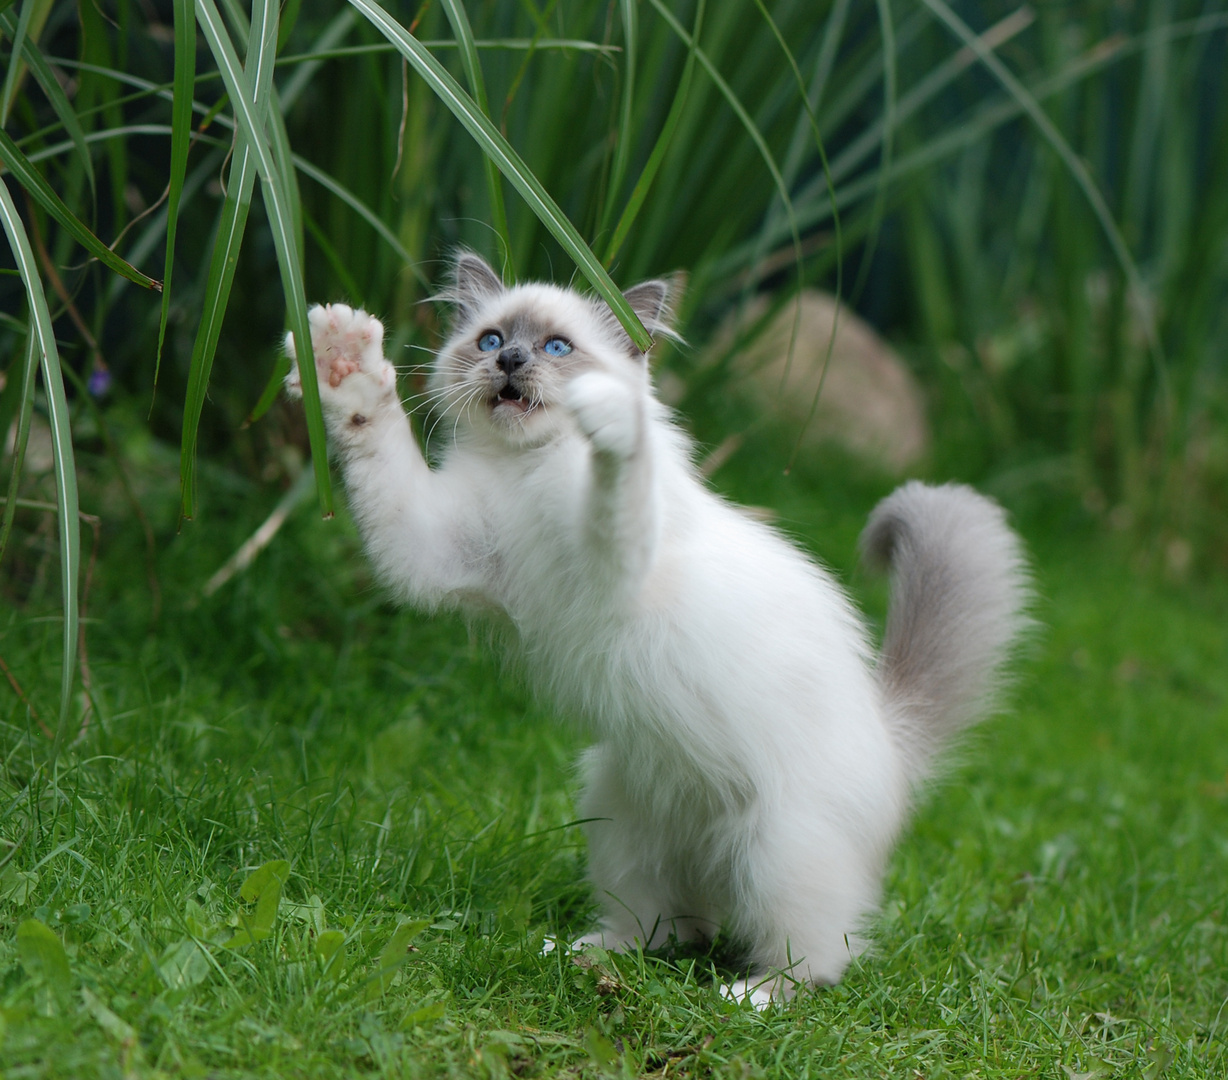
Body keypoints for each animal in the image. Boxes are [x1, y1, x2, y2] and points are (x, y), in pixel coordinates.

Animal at [284, 251, 1026, 1007]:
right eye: (491, 340)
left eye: (557, 348)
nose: (512, 361)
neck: (525, 471)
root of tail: (887, 731)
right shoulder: (429, 552)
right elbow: (375, 436)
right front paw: (341, 358)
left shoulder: (614, 561)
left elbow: (619, 478)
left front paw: (611, 417)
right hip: (620, 814)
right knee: (670, 927)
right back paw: (585, 953)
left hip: (777, 847)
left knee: (814, 958)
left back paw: (748, 997)